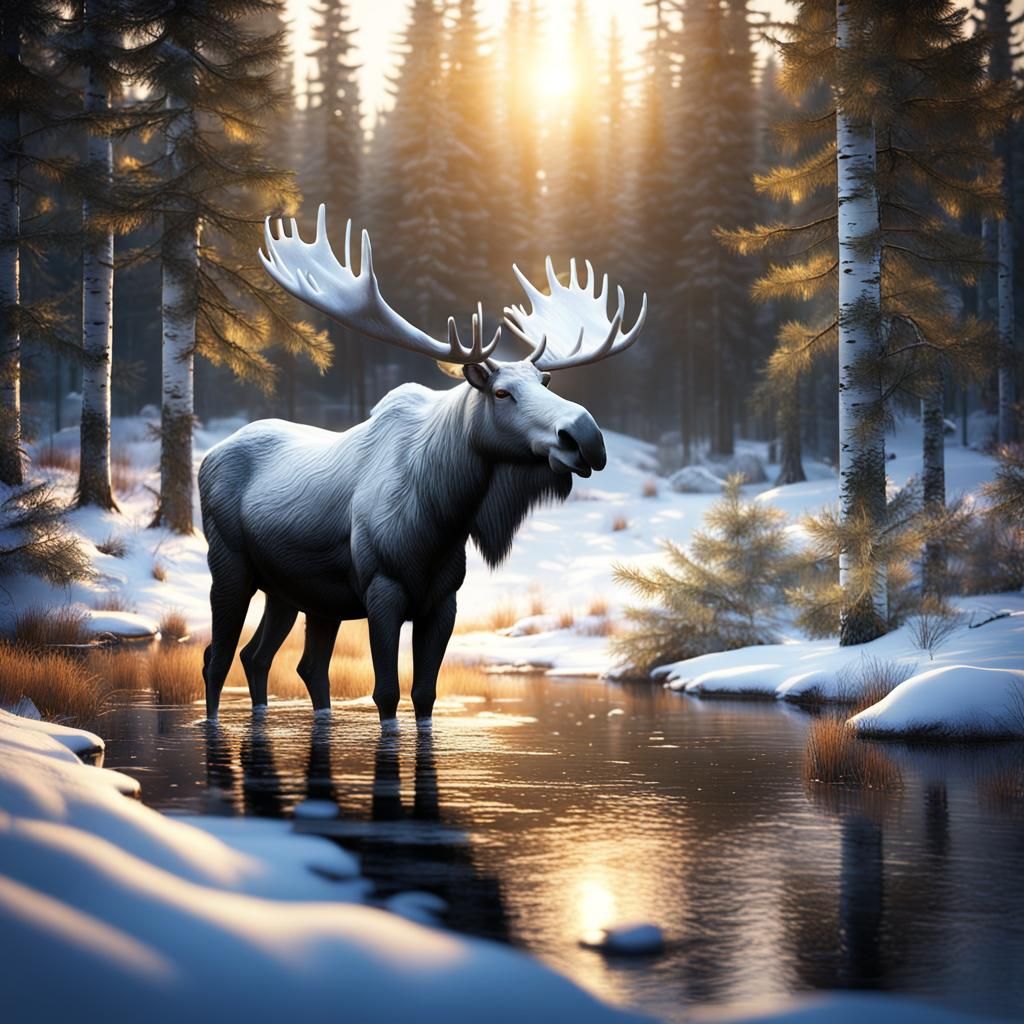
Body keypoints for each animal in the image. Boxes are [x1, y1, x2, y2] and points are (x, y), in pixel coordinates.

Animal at [197, 205, 646, 727]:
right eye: (501, 392)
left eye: (544, 381)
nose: (586, 436)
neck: (443, 513)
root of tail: (208, 458)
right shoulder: (382, 591)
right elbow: (387, 693)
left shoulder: (443, 601)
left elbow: (426, 695)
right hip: (230, 566)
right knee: (218, 657)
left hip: (295, 593)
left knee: (276, 661)